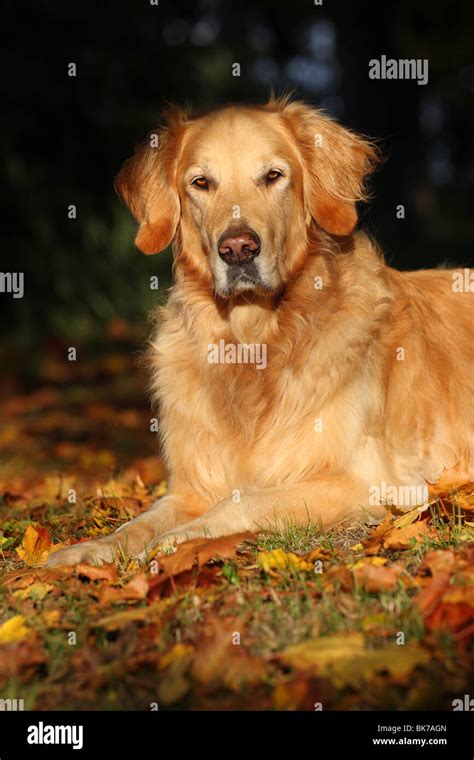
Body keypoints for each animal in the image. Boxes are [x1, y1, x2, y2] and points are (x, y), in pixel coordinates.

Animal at [47, 96, 474, 564]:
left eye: (273, 176)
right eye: (201, 182)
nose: (237, 249)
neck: (254, 341)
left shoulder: (370, 482)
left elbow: (243, 502)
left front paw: (176, 541)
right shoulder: (193, 485)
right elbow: (140, 522)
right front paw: (88, 550)